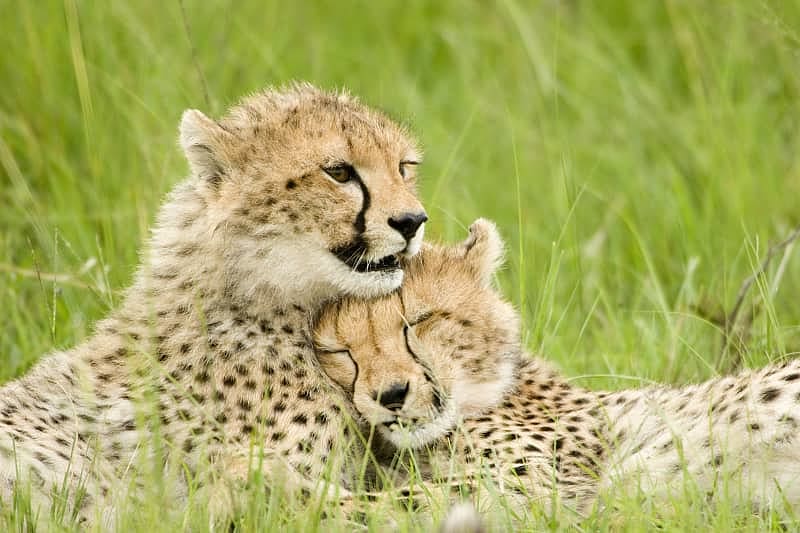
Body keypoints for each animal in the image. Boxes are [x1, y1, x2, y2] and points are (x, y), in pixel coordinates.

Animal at [314, 218, 800, 524]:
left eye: (418, 321)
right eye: (342, 351)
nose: (390, 395)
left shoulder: (528, 490)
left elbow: (375, 504)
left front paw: (295, 491)